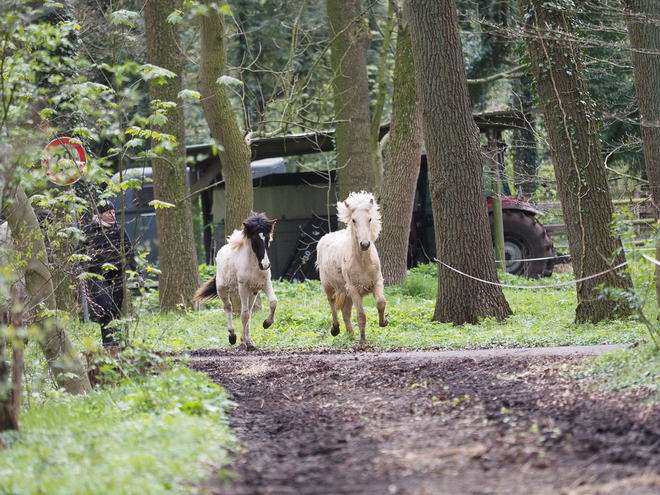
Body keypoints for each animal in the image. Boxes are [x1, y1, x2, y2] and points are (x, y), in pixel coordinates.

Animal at [192, 211, 278, 350]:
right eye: (254, 239)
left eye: (267, 238)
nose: (265, 265)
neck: (253, 265)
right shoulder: (243, 288)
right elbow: (243, 315)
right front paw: (242, 344)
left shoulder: (265, 284)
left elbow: (273, 302)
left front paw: (266, 324)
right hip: (222, 289)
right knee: (228, 308)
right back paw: (232, 337)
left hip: (253, 293)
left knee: (248, 312)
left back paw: (250, 343)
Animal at [314, 191, 386, 348]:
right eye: (353, 220)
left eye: (370, 219)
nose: (365, 244)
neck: (363, 262)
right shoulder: (354, 288)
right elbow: (361, 316)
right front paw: (363, 342)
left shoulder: (377, 282)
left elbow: (381, 303)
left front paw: (383, 322)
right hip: (328, 285)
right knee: (332, 303)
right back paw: (336, 330)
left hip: (346, 292)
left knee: (345, 312)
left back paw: (351, 335)